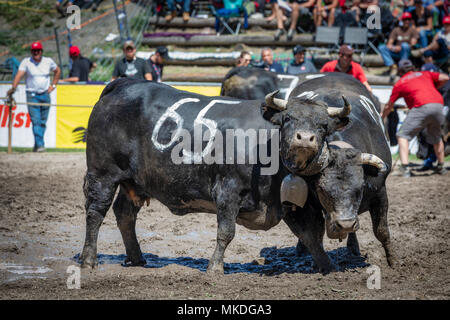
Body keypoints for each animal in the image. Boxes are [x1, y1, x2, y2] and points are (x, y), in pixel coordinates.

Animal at [79, 77, 350, 272]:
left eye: (323, 126)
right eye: (288, 119)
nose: (304, 138)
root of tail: (123, 84)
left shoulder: (291, 202)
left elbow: (310, 235)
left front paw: (328, 268)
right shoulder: (227, 190)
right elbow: (226, 232)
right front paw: (215, 267)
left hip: (134, 180)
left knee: (125, 214)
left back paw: (136, 258)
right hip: (103, 174)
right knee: (95, 213)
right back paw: (89, 260)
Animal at [268, 72, 398, 270]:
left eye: (360, 188)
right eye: (322, 190)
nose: (345, 225)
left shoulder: (379, 192)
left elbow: (381, 230)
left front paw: (393, 262)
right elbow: (313, 233)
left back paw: (353, 247)